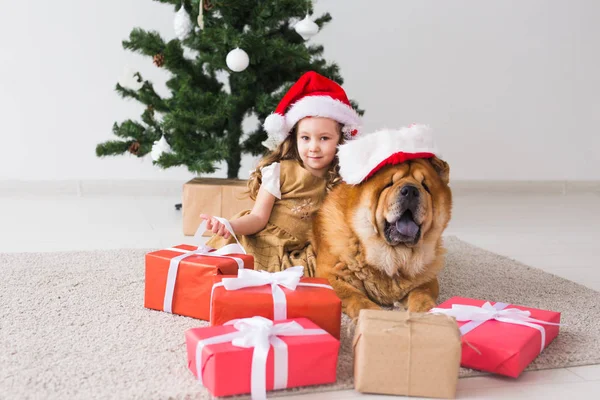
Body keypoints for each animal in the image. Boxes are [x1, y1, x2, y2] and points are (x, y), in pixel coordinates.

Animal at [314, 156, 450, 318]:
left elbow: (422, 295)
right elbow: (356, 297)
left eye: (425, 186)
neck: (395, 255)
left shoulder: (427, 279)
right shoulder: (330, 274)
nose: (410, 190)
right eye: (389, 184)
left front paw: (426, 314)